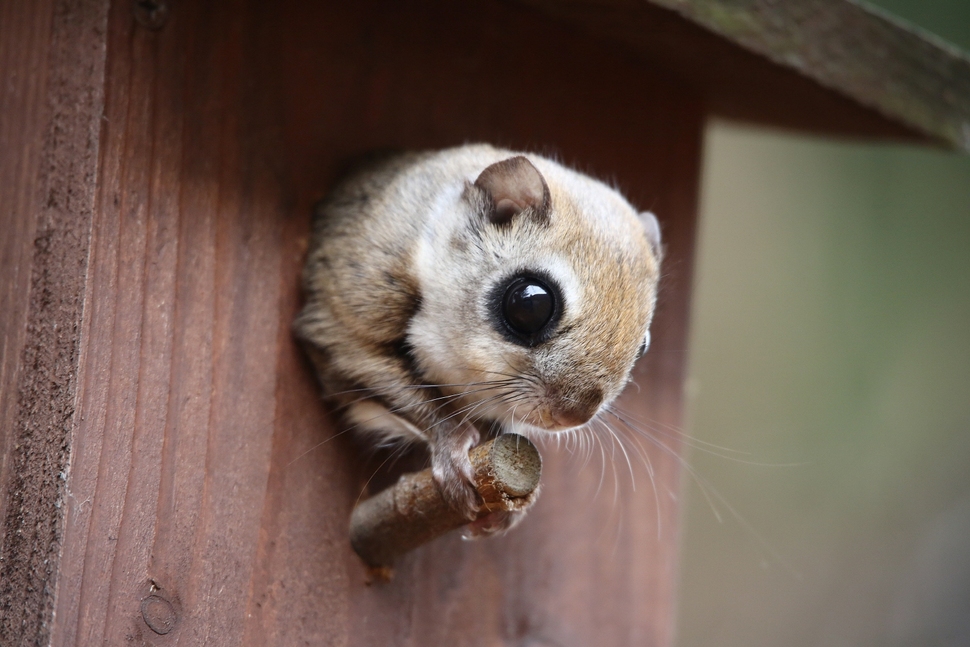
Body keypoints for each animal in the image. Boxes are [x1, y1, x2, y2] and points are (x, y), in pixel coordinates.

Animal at [292, 144, 660, 536]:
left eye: (644, 345)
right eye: (530, 303)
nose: (572, 415)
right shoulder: (344, 318)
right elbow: (388, 382)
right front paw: (452, 448)